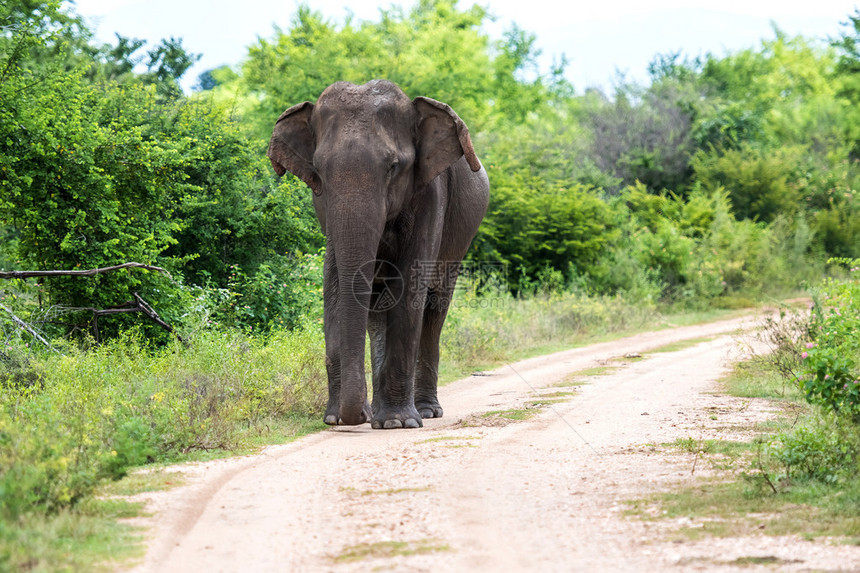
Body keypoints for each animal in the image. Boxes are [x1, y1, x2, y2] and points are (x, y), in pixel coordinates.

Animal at [266, 80, 488, 428]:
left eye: (393, 167)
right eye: (319, 170)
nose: (356, 416)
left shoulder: (430, 194)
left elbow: (410, 289)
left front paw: (397, 423)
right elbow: (335, 288)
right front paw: (336, 420)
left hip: (460, 240)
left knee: (435, 306)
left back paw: (424, 411)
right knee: (377, 309)